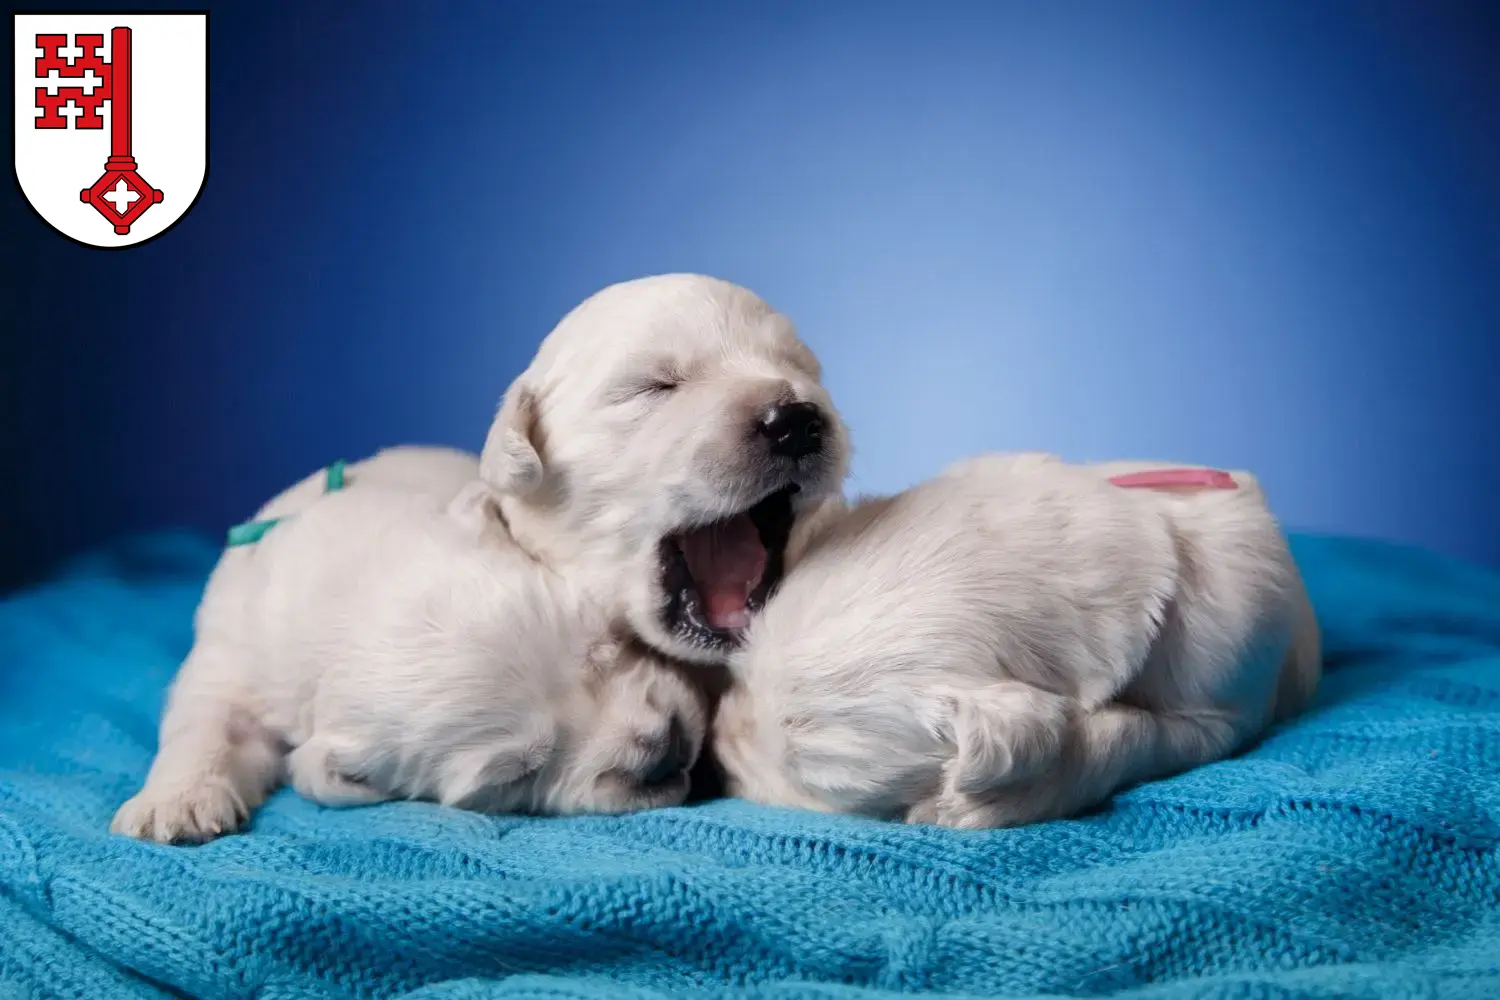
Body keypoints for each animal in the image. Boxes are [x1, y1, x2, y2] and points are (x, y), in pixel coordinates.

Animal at [111, 446, 708, 845]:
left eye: (605, 644)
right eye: (518, 775)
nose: (663, 749)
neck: (339, 586)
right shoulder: (232, 657)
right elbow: (207, 723)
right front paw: (172, 804)